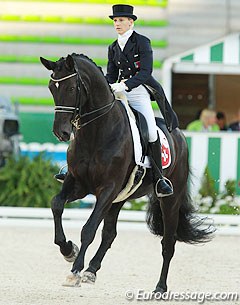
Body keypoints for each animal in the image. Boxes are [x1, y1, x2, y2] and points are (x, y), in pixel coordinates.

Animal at [39, 53, 214, 290]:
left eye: (72, 88)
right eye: (51, 87)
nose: (61, 132)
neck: (96, 132)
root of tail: (178, 133)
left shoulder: (107, 189)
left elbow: (89, 229)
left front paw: (74, 271)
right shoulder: (77, 183)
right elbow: (56, 204)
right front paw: (68, 250)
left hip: (170, 199)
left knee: (168, 243)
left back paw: (160, 287)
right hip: (120, 198)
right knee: (110, 234)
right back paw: (91, 271)